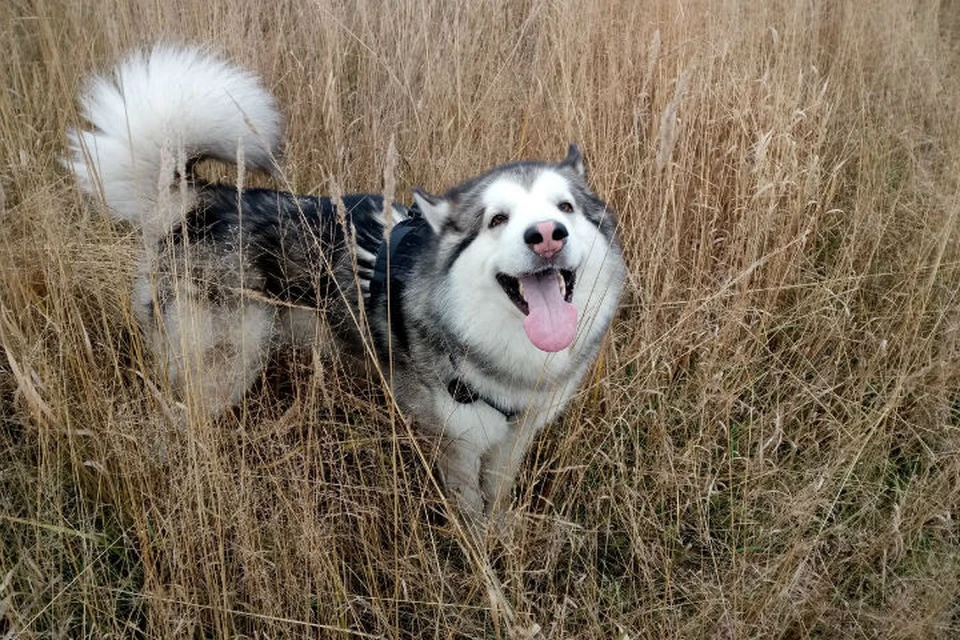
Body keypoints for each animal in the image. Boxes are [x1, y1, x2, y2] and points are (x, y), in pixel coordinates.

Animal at [65, 46, 624, 516]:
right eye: (497, 220)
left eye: (565, 208)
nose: (546, 236)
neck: (511, 358)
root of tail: (198, 201)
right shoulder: (457, 443)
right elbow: (468, 510)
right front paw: (480, 562)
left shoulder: (514, 437)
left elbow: (498, 496)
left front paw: (501, 539)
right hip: (220, 372)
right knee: (174, 425)